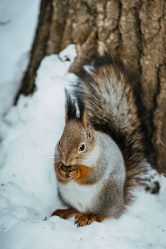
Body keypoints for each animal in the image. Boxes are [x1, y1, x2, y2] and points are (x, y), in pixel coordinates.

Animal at [51, 55, 160, 227]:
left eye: (82, 147)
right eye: (60, 142)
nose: (67, 162)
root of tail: (119, 205)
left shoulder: (103, 160)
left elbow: (93, 175)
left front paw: (76, 172)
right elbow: (56, 170)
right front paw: (61, 170)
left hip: (103, 197)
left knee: (101, 215)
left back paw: (89, 217)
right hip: (66, 196)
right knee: (76, 209)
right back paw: (66, 211)